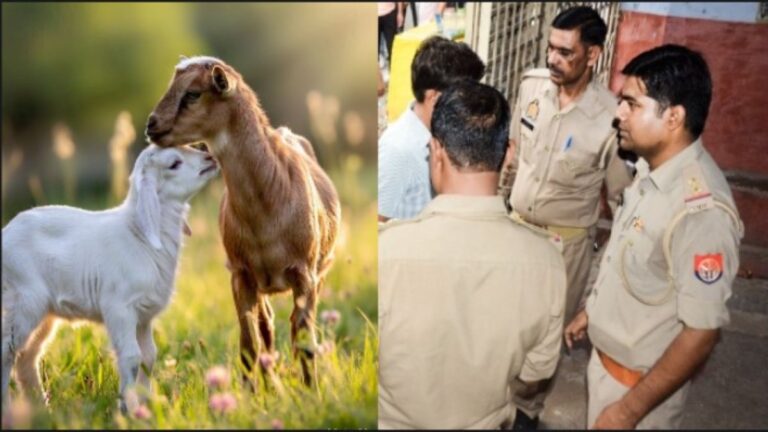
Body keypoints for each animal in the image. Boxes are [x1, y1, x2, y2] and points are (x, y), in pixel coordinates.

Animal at [1, 144, 219, 414]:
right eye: (174, 163)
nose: (209, 157)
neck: (141, 236)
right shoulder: (119, 308)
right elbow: (132, 357)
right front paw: (128, 409)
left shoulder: (143, 316)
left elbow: (149, 356)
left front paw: (145, 405)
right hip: (24, 298)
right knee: (7, 350)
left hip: (44, 312)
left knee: (27, 356)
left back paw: (40, 408)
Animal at [145, 56, 340, 387]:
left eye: (193, 94)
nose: (151, 125)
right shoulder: (240, 275)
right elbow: (249, 345)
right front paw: (253, 393)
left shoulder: (304, 274)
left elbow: (304, 342)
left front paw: (312, 391)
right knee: (267, 327)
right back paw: (272, 384)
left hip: (320, 270)